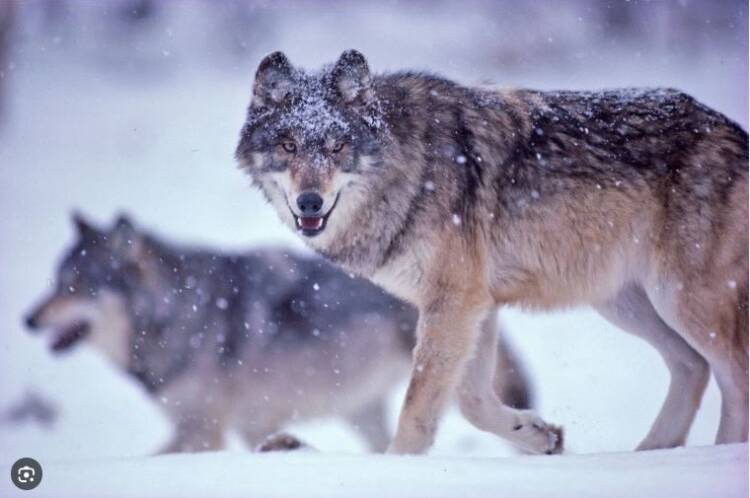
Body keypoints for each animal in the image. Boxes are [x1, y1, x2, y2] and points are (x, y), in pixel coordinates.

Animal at [25, 212, 536, 454]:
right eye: (55, 281)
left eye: (78, 286)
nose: (27, 320)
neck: (180, 312)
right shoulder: (248, 424)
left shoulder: (203, 431)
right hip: (361, 411)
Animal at [236, 48, 750, 454]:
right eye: (288, 145)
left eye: (337, 146)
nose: (309, 202)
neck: (410, 168)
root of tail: (733, 129)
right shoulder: (473, 304)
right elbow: (471, 402)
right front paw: (539, 435)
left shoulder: (455, 301)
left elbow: (419, 408)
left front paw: (398, 467)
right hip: (624, 302)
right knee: (692, 368)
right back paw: (652, 453)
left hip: (683, 301)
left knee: (733, 379)